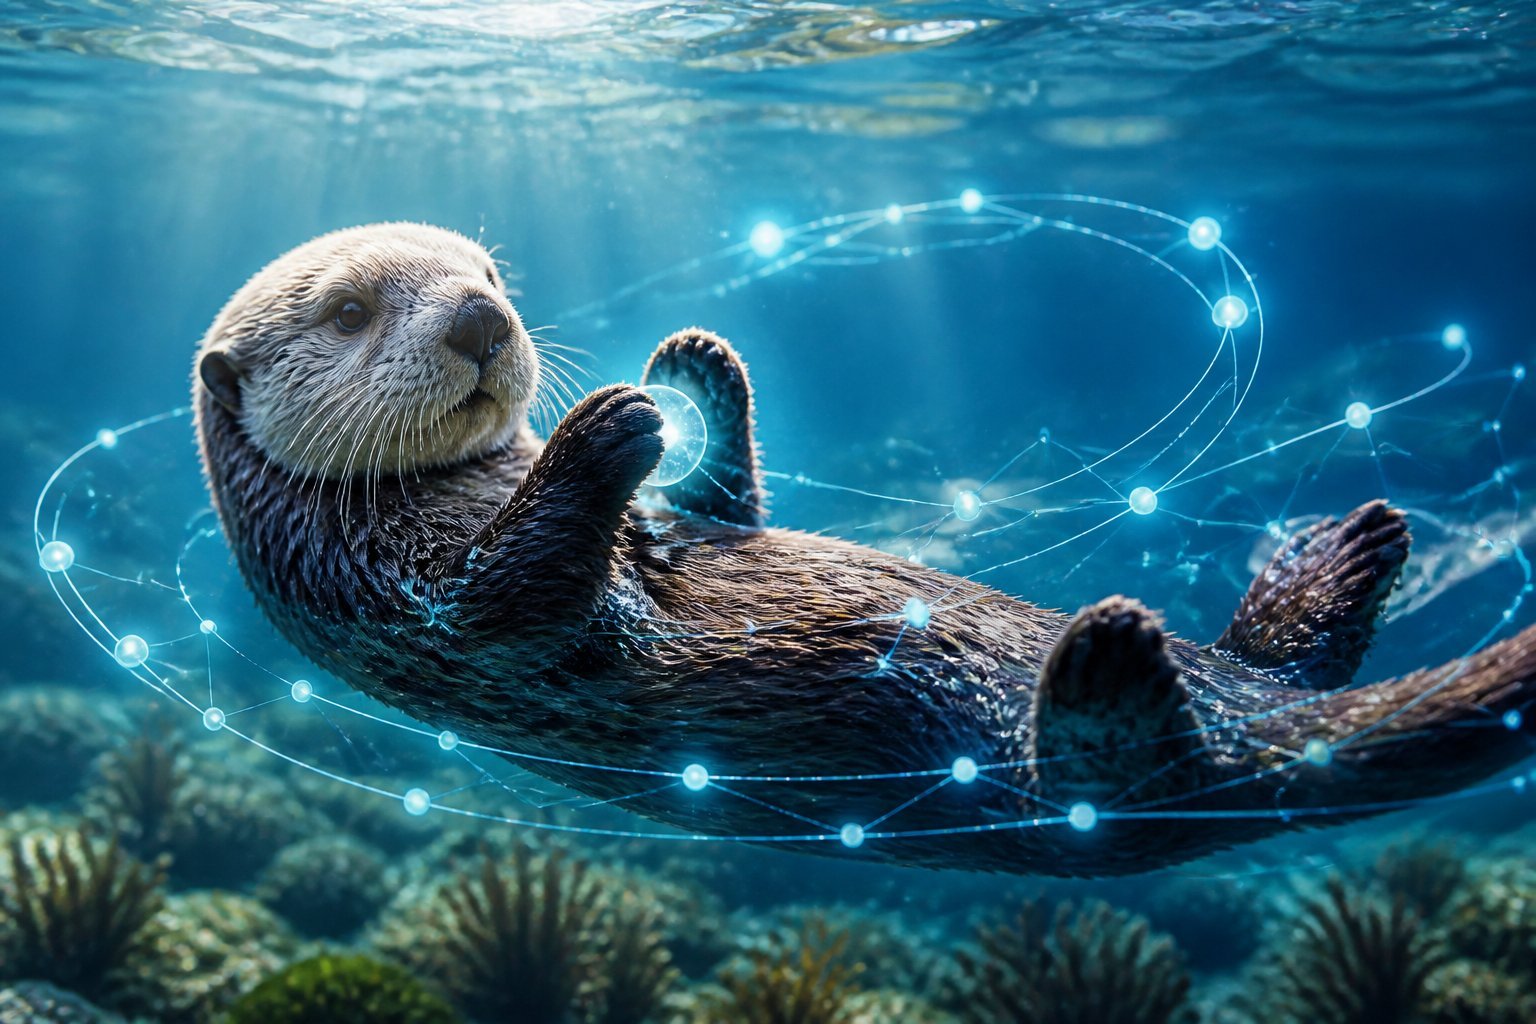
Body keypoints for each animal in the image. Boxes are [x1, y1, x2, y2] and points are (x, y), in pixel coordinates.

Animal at [194, 223, 1536, 876]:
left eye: (485, 270)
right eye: (351, 310)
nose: (483, 317)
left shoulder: (701, 515)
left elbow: (727, 504)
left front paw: (692, 368)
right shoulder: (399, 597)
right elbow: (508, 600)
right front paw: (609, 425)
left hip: (1252, 688)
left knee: (1290, 668)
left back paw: (1346, 549)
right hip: (1076, 795)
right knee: (1137, 786)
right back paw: (1110, 652)